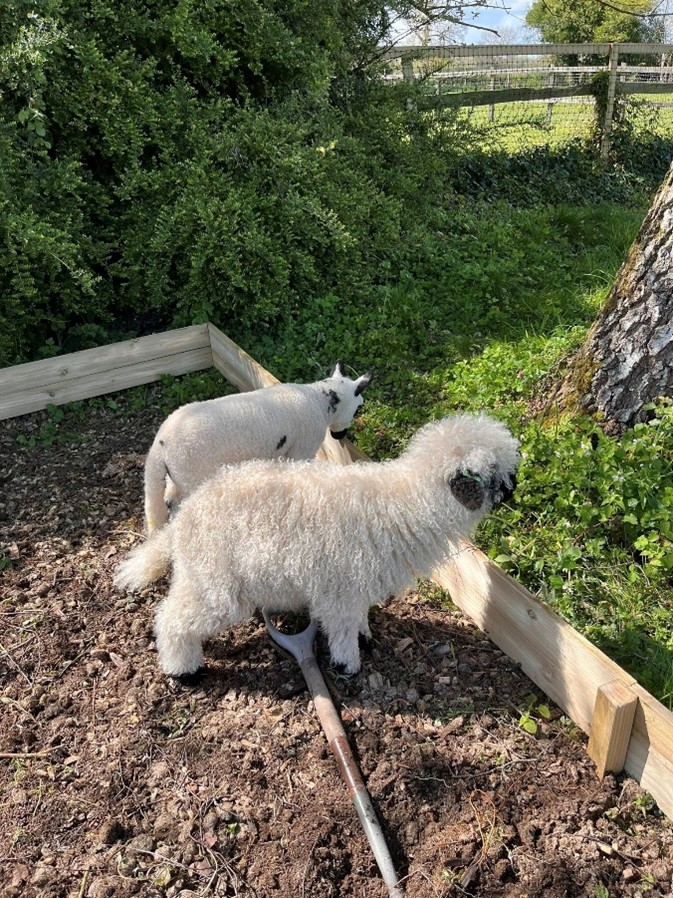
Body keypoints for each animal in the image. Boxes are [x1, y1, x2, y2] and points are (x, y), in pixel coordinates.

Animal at [114, 412, 519, 678]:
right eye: (494, 473)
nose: (515, 490)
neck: (402, 504)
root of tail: (186, 516)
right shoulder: (341, 590)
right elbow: (341, 633)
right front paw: (348, 665)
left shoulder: (351, 589)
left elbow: (356, 619)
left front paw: (365, 637)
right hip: (214, 583)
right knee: (172, 618)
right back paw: (184, 670)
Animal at [143, 363, 372, 534]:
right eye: (358, 408)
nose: (340, 436)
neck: (318, 400)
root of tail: (160, 445)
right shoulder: (302, 449)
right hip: (192, 475)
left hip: (177, 477)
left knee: (170, 501)